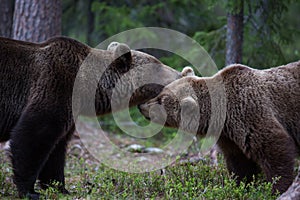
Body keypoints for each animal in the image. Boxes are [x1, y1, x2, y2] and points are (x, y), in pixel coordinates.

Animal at [0, 36, 183, 198]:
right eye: (158, 65)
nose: (180, 73)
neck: (87, 88)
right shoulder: (55, 86)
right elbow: (33, 136)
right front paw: (29, 191)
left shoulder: (69, 110)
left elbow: (57, 148)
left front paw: (60, 188)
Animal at [140, 61, 300, 194]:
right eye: (161, 92)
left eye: (161, 100)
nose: (141, 106)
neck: (224, 115)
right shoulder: (229, 136)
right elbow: (239, 162)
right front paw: (241, 185)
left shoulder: (251, 113)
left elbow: (275, 148)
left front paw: (277, 188)